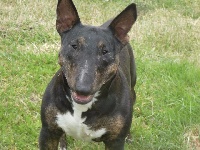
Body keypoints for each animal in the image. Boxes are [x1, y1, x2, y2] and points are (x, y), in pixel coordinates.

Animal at [38, 0, 138, 149]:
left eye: (105, 51)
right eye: (74, 46)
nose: (82, 89)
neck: (82, 108)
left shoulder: (115, 142)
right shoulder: (47, 132)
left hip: (133, 88)